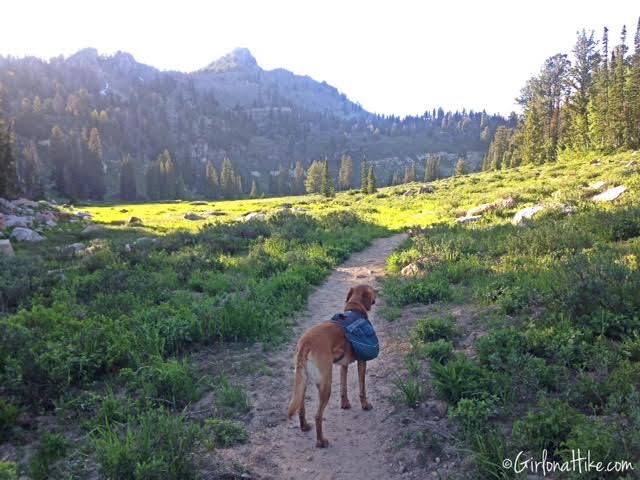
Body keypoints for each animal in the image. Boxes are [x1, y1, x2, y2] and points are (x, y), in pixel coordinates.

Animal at [288, 284, 378, 446]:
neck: (355, 308)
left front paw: (345, 404)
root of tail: (305, 343)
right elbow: (362, 389)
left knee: (301, 408)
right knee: (318, 416)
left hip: (303, 382)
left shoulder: (343, 365)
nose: (378, 291)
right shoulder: (362, 362)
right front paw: (365, 405)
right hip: (325, 384)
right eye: (372, 290)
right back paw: (321, 441)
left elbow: (343, 387)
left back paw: (304, 426)